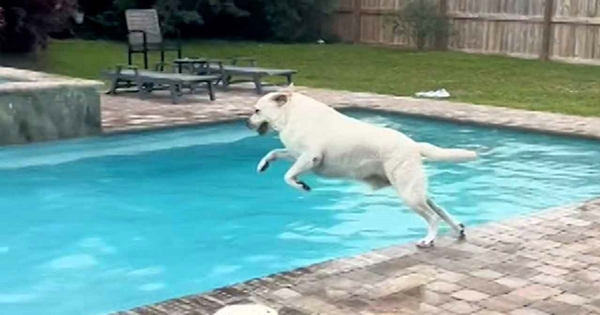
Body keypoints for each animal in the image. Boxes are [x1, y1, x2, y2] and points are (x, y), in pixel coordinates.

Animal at [245, 85, 478, 248]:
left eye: (256, 111)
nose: (246, 123)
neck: (291, 114)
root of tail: (414, 145)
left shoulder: (310, 157)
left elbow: (288, 176)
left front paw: (301, 185)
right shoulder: (295, 154)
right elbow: (274, 152)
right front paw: (263, 164)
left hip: (408, 194)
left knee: (432, 217)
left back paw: (429, 239)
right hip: (415, 191)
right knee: (439, 210)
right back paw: (458, 229)